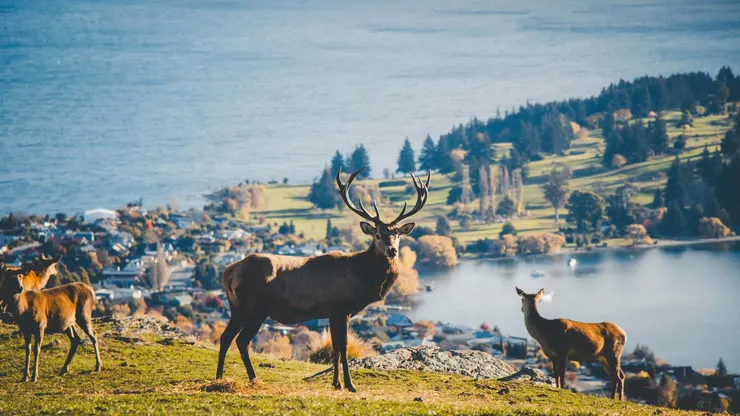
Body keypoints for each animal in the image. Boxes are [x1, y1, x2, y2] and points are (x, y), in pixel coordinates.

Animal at [216, 167, 429, 392]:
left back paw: (220, 377)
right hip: (255, 307)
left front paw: (336, 383)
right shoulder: (340, 308)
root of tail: (229, 272)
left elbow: (335, 347)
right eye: (378, 235)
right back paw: (253, 378)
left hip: (236, 307)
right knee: (242, 340)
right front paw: (350, 385)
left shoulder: (331, 313)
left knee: (226, 336)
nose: (392, 250)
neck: (362, 278)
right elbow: (343, 346)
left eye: (397, 235)